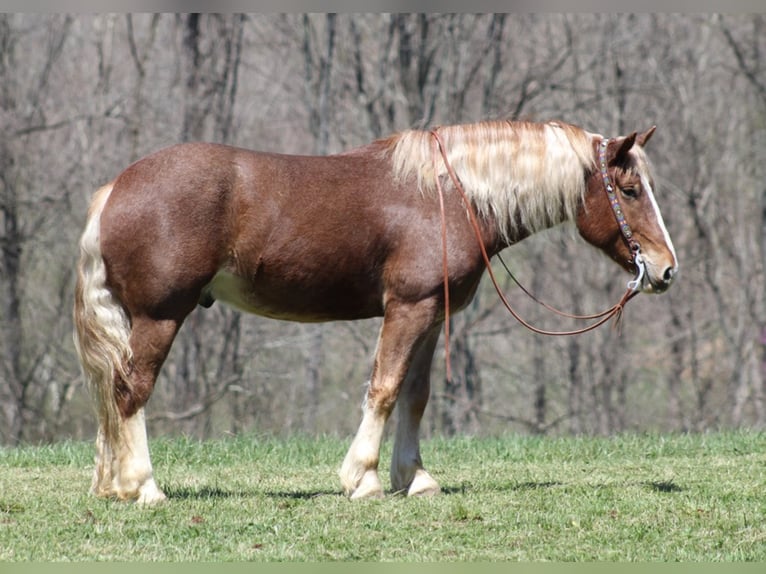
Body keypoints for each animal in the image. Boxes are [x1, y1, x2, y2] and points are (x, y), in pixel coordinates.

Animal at [73, 120, 680, 504]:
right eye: (629, 189)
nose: (666, 270)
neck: (450, 194)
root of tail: (114, 190)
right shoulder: (408, 308)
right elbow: (384, 389)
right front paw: (361, 478)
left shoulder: (432, 315)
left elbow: (414, 396)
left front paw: (414, 478)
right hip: (160, 317)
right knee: (131, 392)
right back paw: (144, 487)